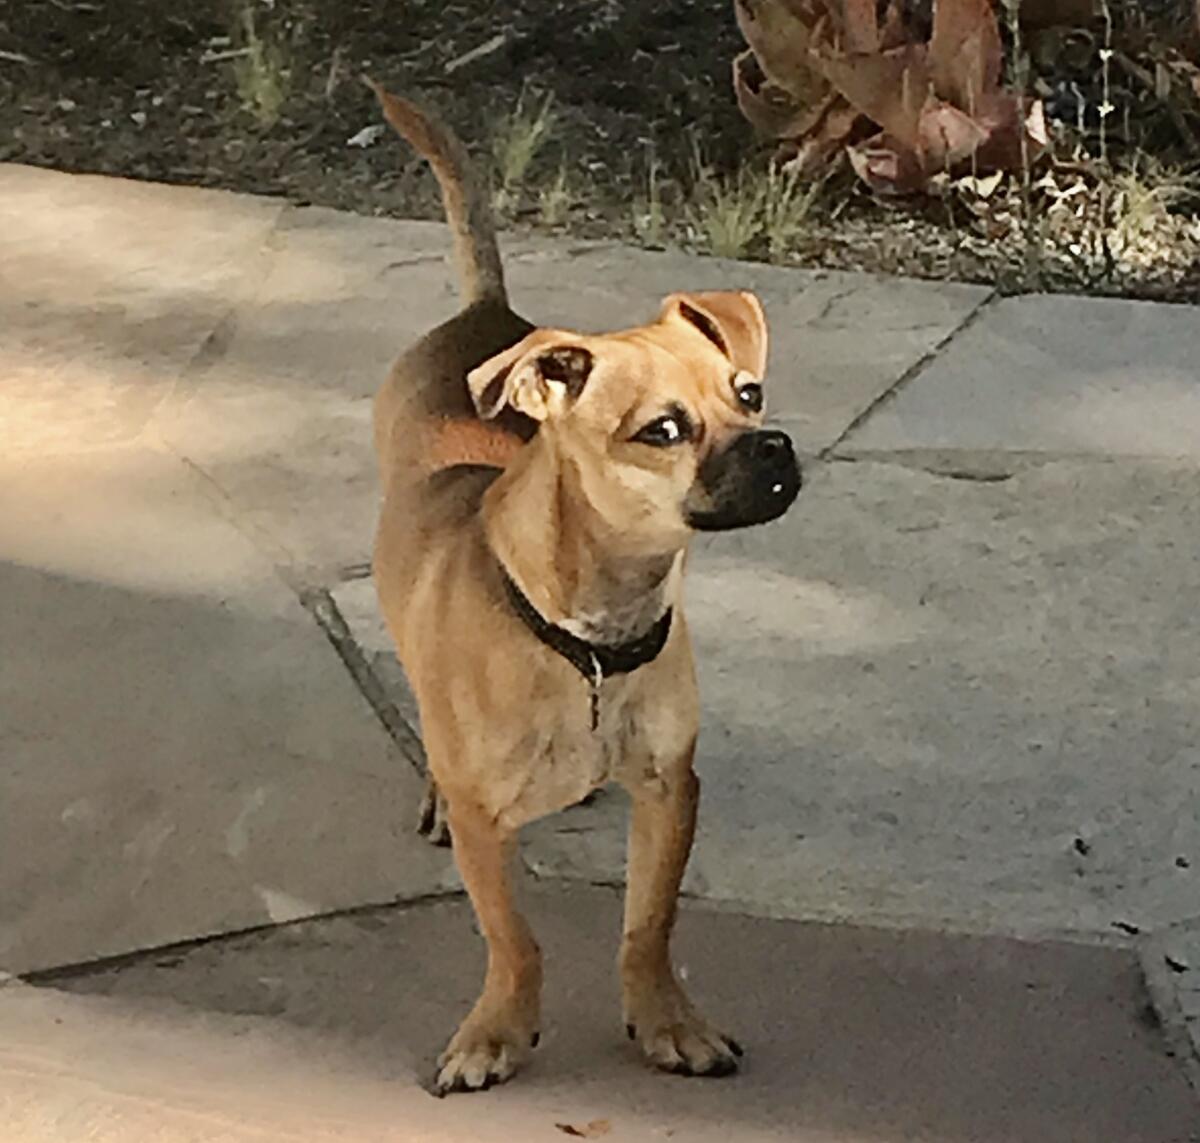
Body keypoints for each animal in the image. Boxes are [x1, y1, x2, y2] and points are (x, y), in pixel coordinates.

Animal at [360, 82, 801, 1099]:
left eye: (750, 393)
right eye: (662, 430)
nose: (774, 447)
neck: (593, 637)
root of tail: (491, 313)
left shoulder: (670, 789)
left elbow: (649, 923)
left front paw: (668, 1022)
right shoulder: (488, 828)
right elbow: (513, 937)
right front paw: (495, 1033)